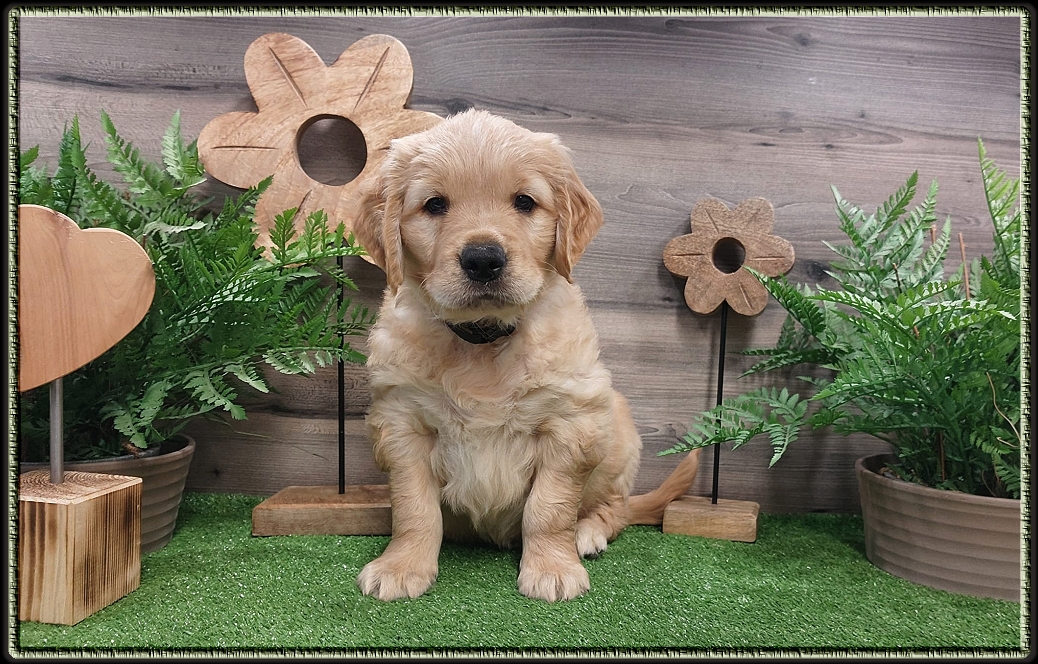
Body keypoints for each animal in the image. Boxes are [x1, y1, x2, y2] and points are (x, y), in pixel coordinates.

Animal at [351, 109, 701, 602]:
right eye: (434, 205)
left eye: (524, 202)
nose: (483, 259)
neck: (484, 339)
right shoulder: (402, 422)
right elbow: (414, 507)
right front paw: (401, 566)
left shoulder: (570, 421)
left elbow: (549, 508)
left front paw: (553, 567)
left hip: (619, 436)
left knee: (616, 508)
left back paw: (588, 533)